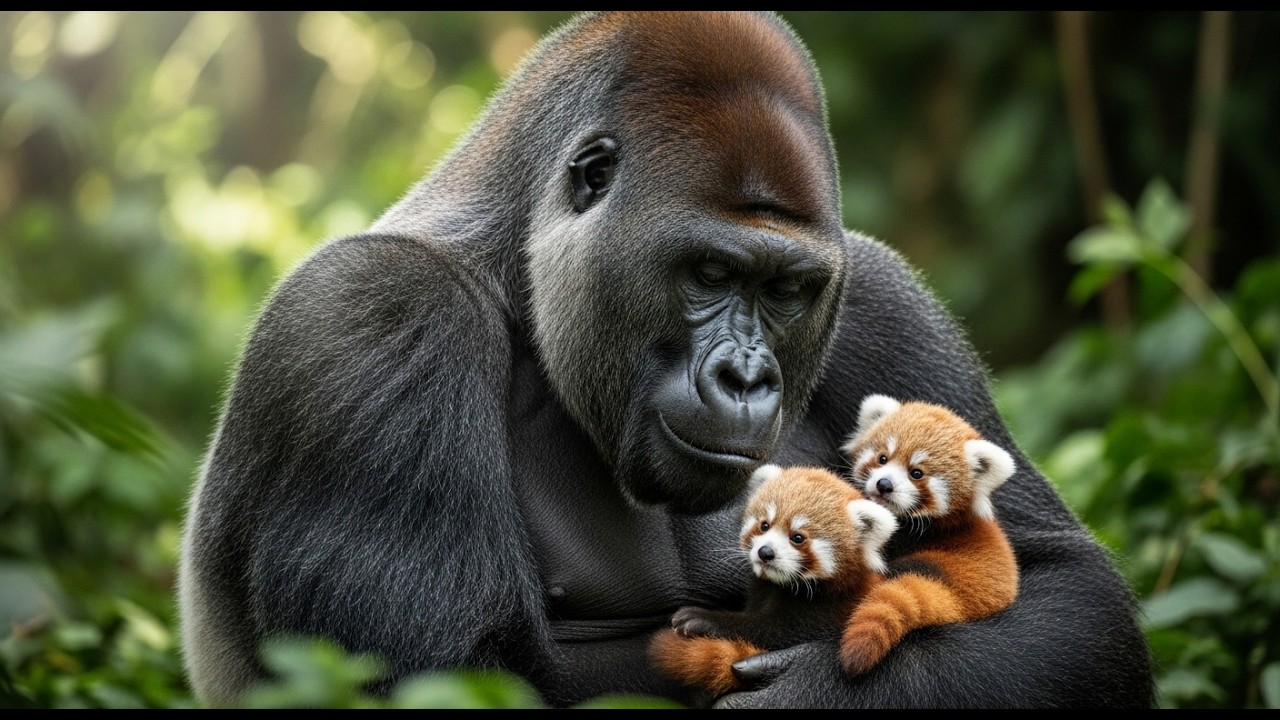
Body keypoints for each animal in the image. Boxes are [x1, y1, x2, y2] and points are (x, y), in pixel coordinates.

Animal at [178, 11, 1154, 709]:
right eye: (712, 273)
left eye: (787, 290)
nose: (747, 378)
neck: (515, 266)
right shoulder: (373, 316)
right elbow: (441, 678)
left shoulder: (880, 295)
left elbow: (1062, 594)